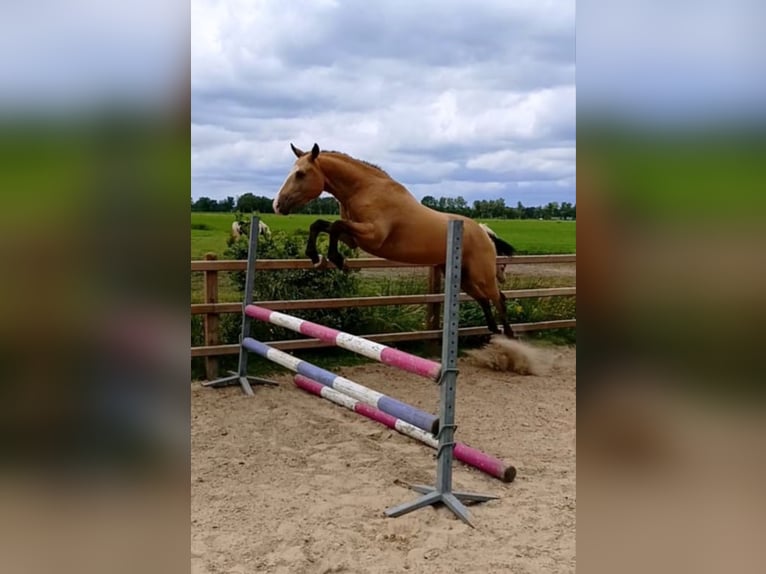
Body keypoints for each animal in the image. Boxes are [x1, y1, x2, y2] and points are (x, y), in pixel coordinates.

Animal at [272, 143, 517, 338]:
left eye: (301, 174)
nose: (277, 205)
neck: (365, 189)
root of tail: (484, 232)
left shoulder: (372, 236)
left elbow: (335, 226)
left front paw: (337, 259)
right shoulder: (353, 239)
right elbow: (321, 224)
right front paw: (315, 256)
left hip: (481, 274)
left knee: (499, 298)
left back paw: (509, 336)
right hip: (463, 276)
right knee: (484, 299)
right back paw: (494, 331)